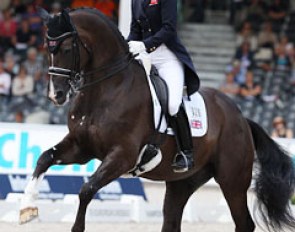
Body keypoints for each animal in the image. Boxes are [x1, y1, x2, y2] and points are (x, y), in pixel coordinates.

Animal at [19, 7, 295, 232]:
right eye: (46, 47)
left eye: (66, 49)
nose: (56, 95)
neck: (107, 89)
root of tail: (241, 117)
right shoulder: (81, 147)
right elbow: (44, 158)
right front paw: (27, 208)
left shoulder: (122, 155)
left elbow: (86, 190)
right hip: (182, 182)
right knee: (172, 220)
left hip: (232, 180)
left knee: (244, 223)